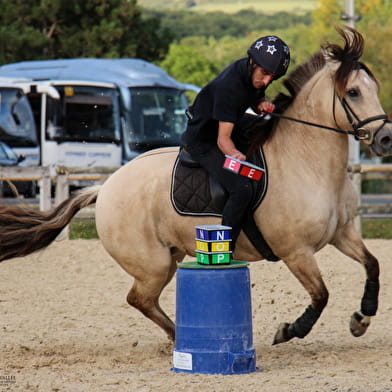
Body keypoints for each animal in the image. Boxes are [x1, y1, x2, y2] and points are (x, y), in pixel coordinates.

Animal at [0, 29, 392, 344]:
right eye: (353, 92)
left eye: (373, 89)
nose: (385, 139)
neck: (307, 162)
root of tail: (104, 187)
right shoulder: (296, 251)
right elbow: (321, 295)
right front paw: (289, 330)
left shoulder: (342, 233)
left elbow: (372, 265)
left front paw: (362, 317)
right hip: (154, 264)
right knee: (139, 298)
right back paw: (180, 338)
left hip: (170, 254)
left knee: (143, 300)